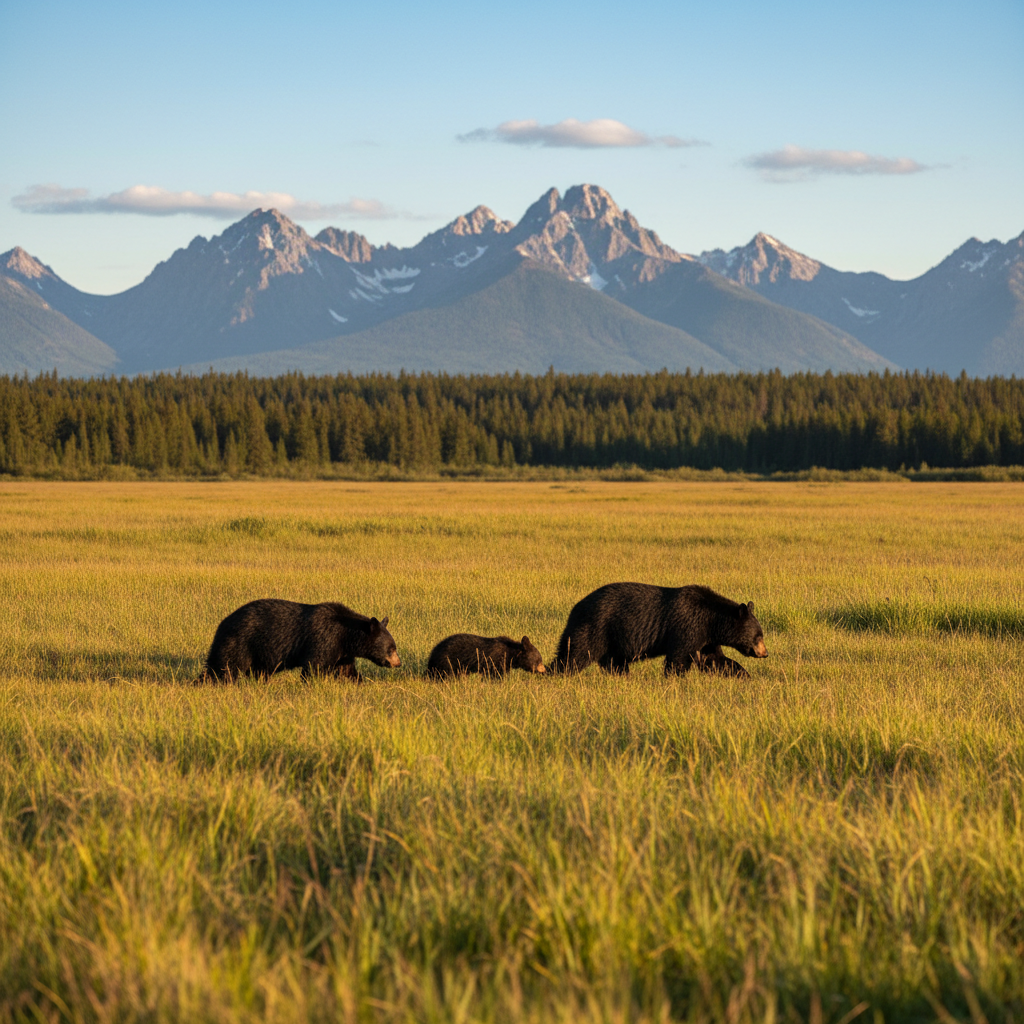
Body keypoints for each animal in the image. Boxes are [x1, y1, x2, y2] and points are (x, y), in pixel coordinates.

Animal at [202, 598, 400, 682]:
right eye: (391, 649)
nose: (398, 663)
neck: (345, 635)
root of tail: (221, 625)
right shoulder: (324, 640)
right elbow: (313, 667)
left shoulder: (341, 652)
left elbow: (346, 671)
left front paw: (359, 682)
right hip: (240, 643)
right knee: (225, 668)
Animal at [549, 582, 767, 677]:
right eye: (758, 636)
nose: (765, 653)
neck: (710, 619)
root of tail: (575, 609)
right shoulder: (687, 627)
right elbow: (678, 658)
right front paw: (676, 680)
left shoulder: (705, 638)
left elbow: (715, 660)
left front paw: (743, 675)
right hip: (596, 628)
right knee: (574, 655)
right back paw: (552, 672)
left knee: (613, 663)